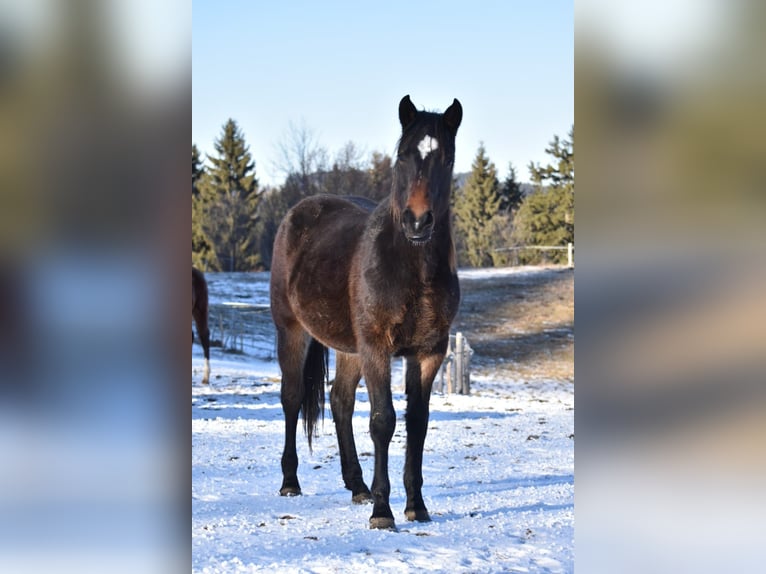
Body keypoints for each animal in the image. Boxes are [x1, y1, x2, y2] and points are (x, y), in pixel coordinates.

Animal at [269, 95, 462, 530]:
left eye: (446, 159)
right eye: (403, 156)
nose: (418, 221)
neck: (411, 268)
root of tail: (297, 213)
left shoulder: (429, 352)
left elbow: (417, 423)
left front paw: (416, 506)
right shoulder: (377, 347)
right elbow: (383, 420)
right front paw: (383, 512)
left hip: (349, 350)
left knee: (339, 401)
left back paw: (357, 486)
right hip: (292, 331)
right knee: (291, 398)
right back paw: (290, 482)